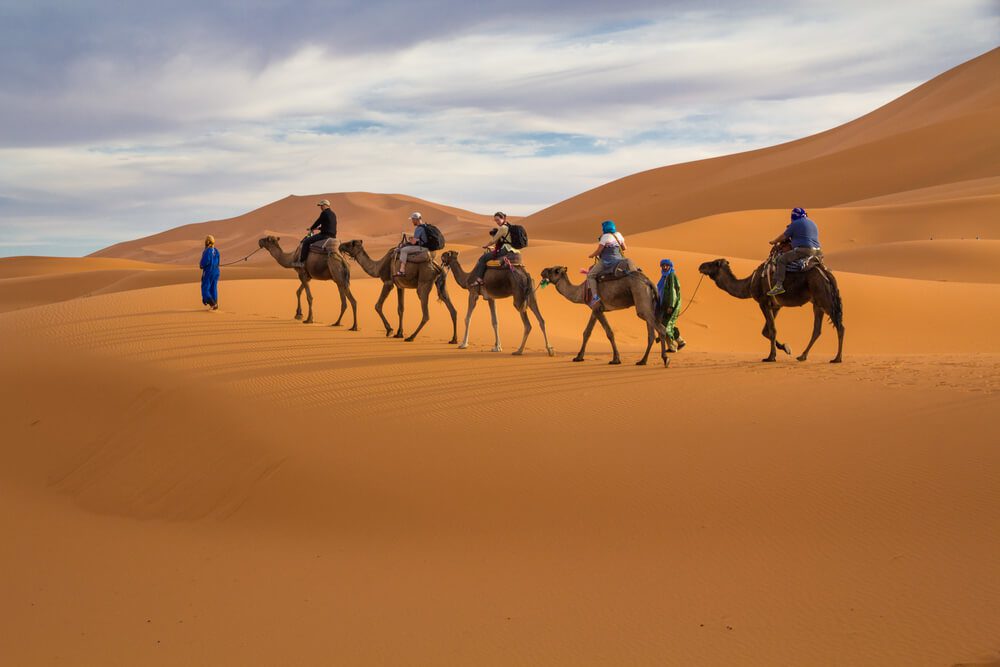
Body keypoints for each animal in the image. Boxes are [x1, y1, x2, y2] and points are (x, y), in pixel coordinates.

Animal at [540, 266, 672, 368]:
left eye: (554, 270)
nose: (542, 271)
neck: (580, 292)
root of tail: (648, 281)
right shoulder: (595, 309)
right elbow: (587, 332)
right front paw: (578, 357)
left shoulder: (597, 308)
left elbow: (609, 332)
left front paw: (616, 359)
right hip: (649, 303)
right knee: (651, 335)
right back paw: (642, 361)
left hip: (641, 296)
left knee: (660, 328)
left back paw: (665, 359)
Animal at [700, 256, 848, 362]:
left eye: (713, 263)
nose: (701, 266)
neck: (750, 283)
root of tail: (827, 274)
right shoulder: (776, 306)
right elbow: (766, 331)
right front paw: (786, 348)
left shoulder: (763, 302)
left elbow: (771, 330)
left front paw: (770, 357)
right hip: (817, 303)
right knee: (817, 329)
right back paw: (802, 356)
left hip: (824, 297)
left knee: (840, 326)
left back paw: (837, 358)